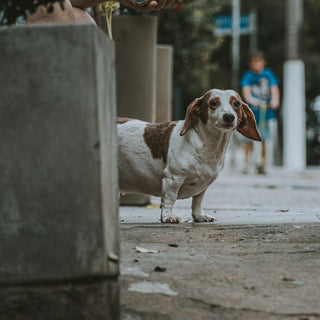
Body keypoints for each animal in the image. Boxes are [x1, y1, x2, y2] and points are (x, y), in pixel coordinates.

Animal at [116, 87, 262, 222]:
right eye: (214, 102)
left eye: (236, 103)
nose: (229, 117)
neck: (205, 146)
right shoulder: (173, 179)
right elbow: (170, 199)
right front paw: (167, 216)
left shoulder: (203, 187)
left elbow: (197, 201)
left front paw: (199, 216)